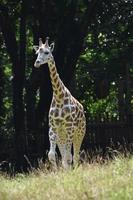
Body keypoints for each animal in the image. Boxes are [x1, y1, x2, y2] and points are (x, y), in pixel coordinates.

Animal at [33, 37, 85, 169]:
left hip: (79, 132)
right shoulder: (53, 127)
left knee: (75, 155)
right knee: (66, 155)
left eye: (47, 52)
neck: (59, 96)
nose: (37, 62)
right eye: (37, 53)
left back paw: (75, 169)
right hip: (62, 135)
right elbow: (52, 155)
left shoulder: (70, 126)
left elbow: (68, 156)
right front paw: (58, 172)